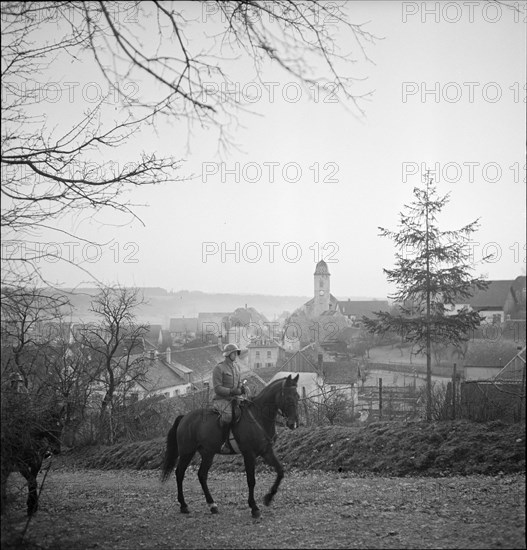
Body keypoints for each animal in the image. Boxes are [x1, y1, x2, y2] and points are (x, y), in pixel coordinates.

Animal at [161, 374, 300, 520]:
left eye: (297, 396)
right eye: (288, 398)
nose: (294, 423)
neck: (258, 417)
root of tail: (184, 417)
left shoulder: (266, 451)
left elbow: (280, 471)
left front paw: (268, 498)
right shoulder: (249, 454)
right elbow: (251, 480)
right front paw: (254, 507)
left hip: (208, 453)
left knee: (202, 475)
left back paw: (212, 505)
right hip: (187, 452)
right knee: (179, 473)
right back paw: (183, 505)